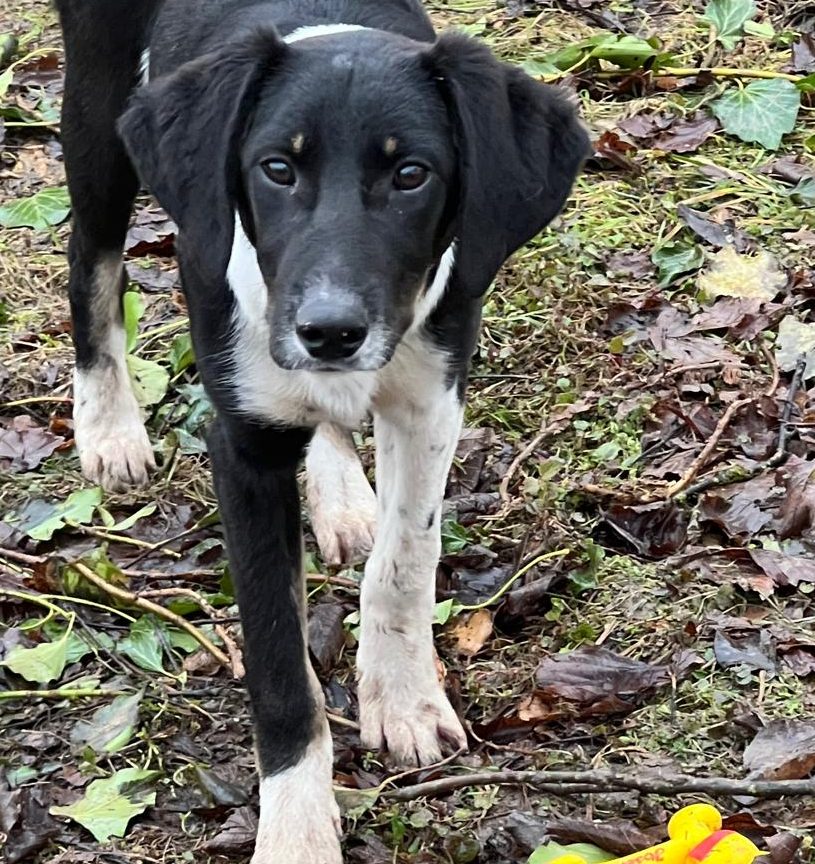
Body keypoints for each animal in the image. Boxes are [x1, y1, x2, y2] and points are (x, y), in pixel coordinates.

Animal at [54, 1, 589, 860]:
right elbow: (277, 664)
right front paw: (297, 830)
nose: (329, 331)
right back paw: (109, 428)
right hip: (99, 112)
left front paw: (402, 700)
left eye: (411, 174)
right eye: (277, 169)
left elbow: (404, 563)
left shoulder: (431, 398)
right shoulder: (242, 449)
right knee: (90, 261)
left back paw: (340, 496)